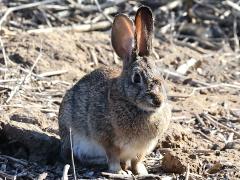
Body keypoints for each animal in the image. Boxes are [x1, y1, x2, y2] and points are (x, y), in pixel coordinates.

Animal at [57, 5, 171, 174]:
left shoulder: (143, 149)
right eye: (136, 78)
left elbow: (137, 161)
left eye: (161, 76)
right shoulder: (108, 140)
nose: (158, 100)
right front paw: (118, 171)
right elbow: (113, 157)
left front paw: (142, 172)